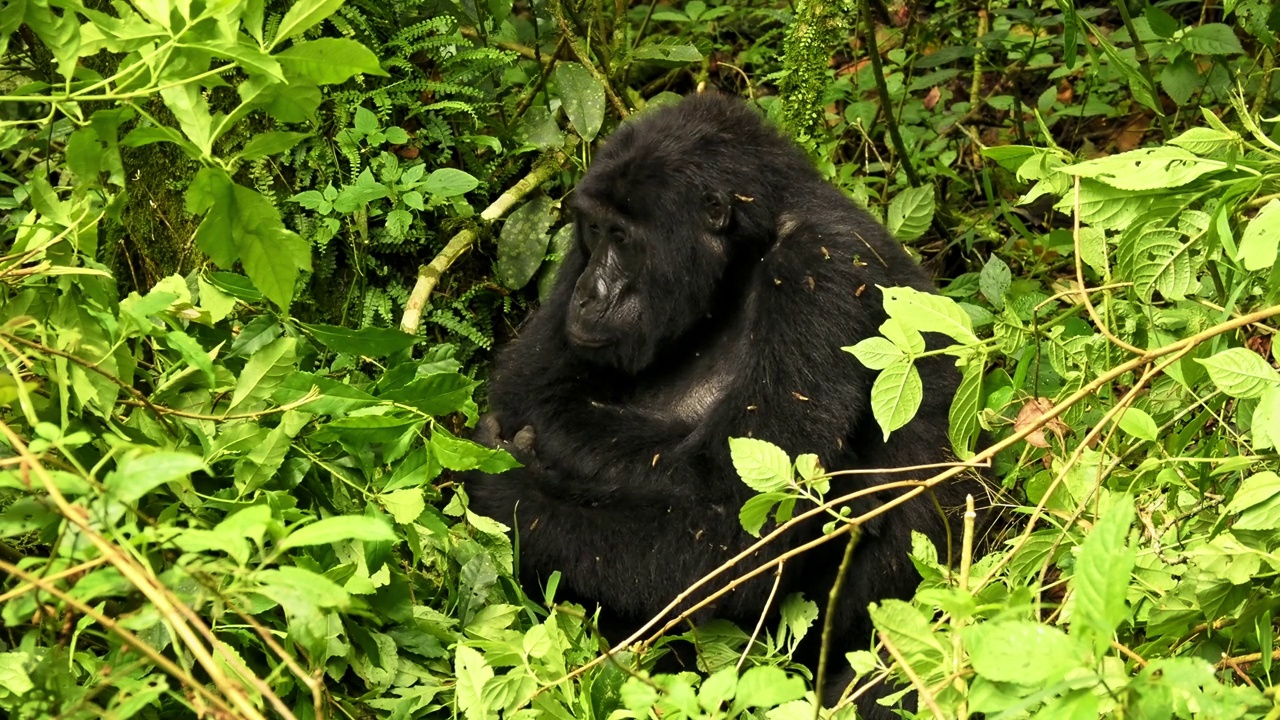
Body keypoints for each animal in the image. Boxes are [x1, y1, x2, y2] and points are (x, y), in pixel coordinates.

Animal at [471, 90, 977, 712]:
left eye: (623, 239)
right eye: (592, 230)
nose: (589, 294)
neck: (745, 256)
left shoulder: (824, 264)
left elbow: (733, 524)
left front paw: (506, 492)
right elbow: (535, 387)